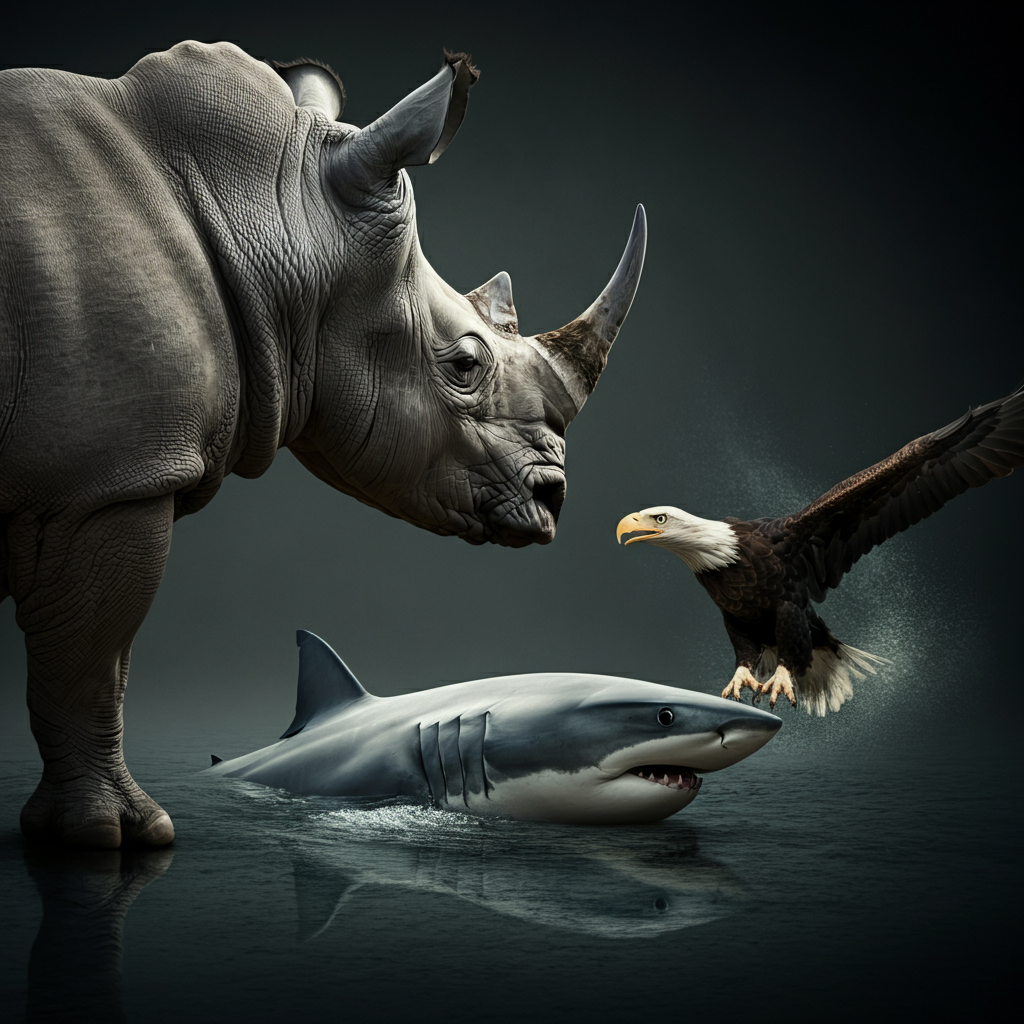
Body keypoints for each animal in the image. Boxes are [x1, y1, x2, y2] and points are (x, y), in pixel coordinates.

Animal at [0, 42, 646, 848]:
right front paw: (113, 836)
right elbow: (92, 665)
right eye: (466, 364)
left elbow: (88, 665)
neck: (277, 207)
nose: (553, 497)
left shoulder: (93, 478)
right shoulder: (107, 482)